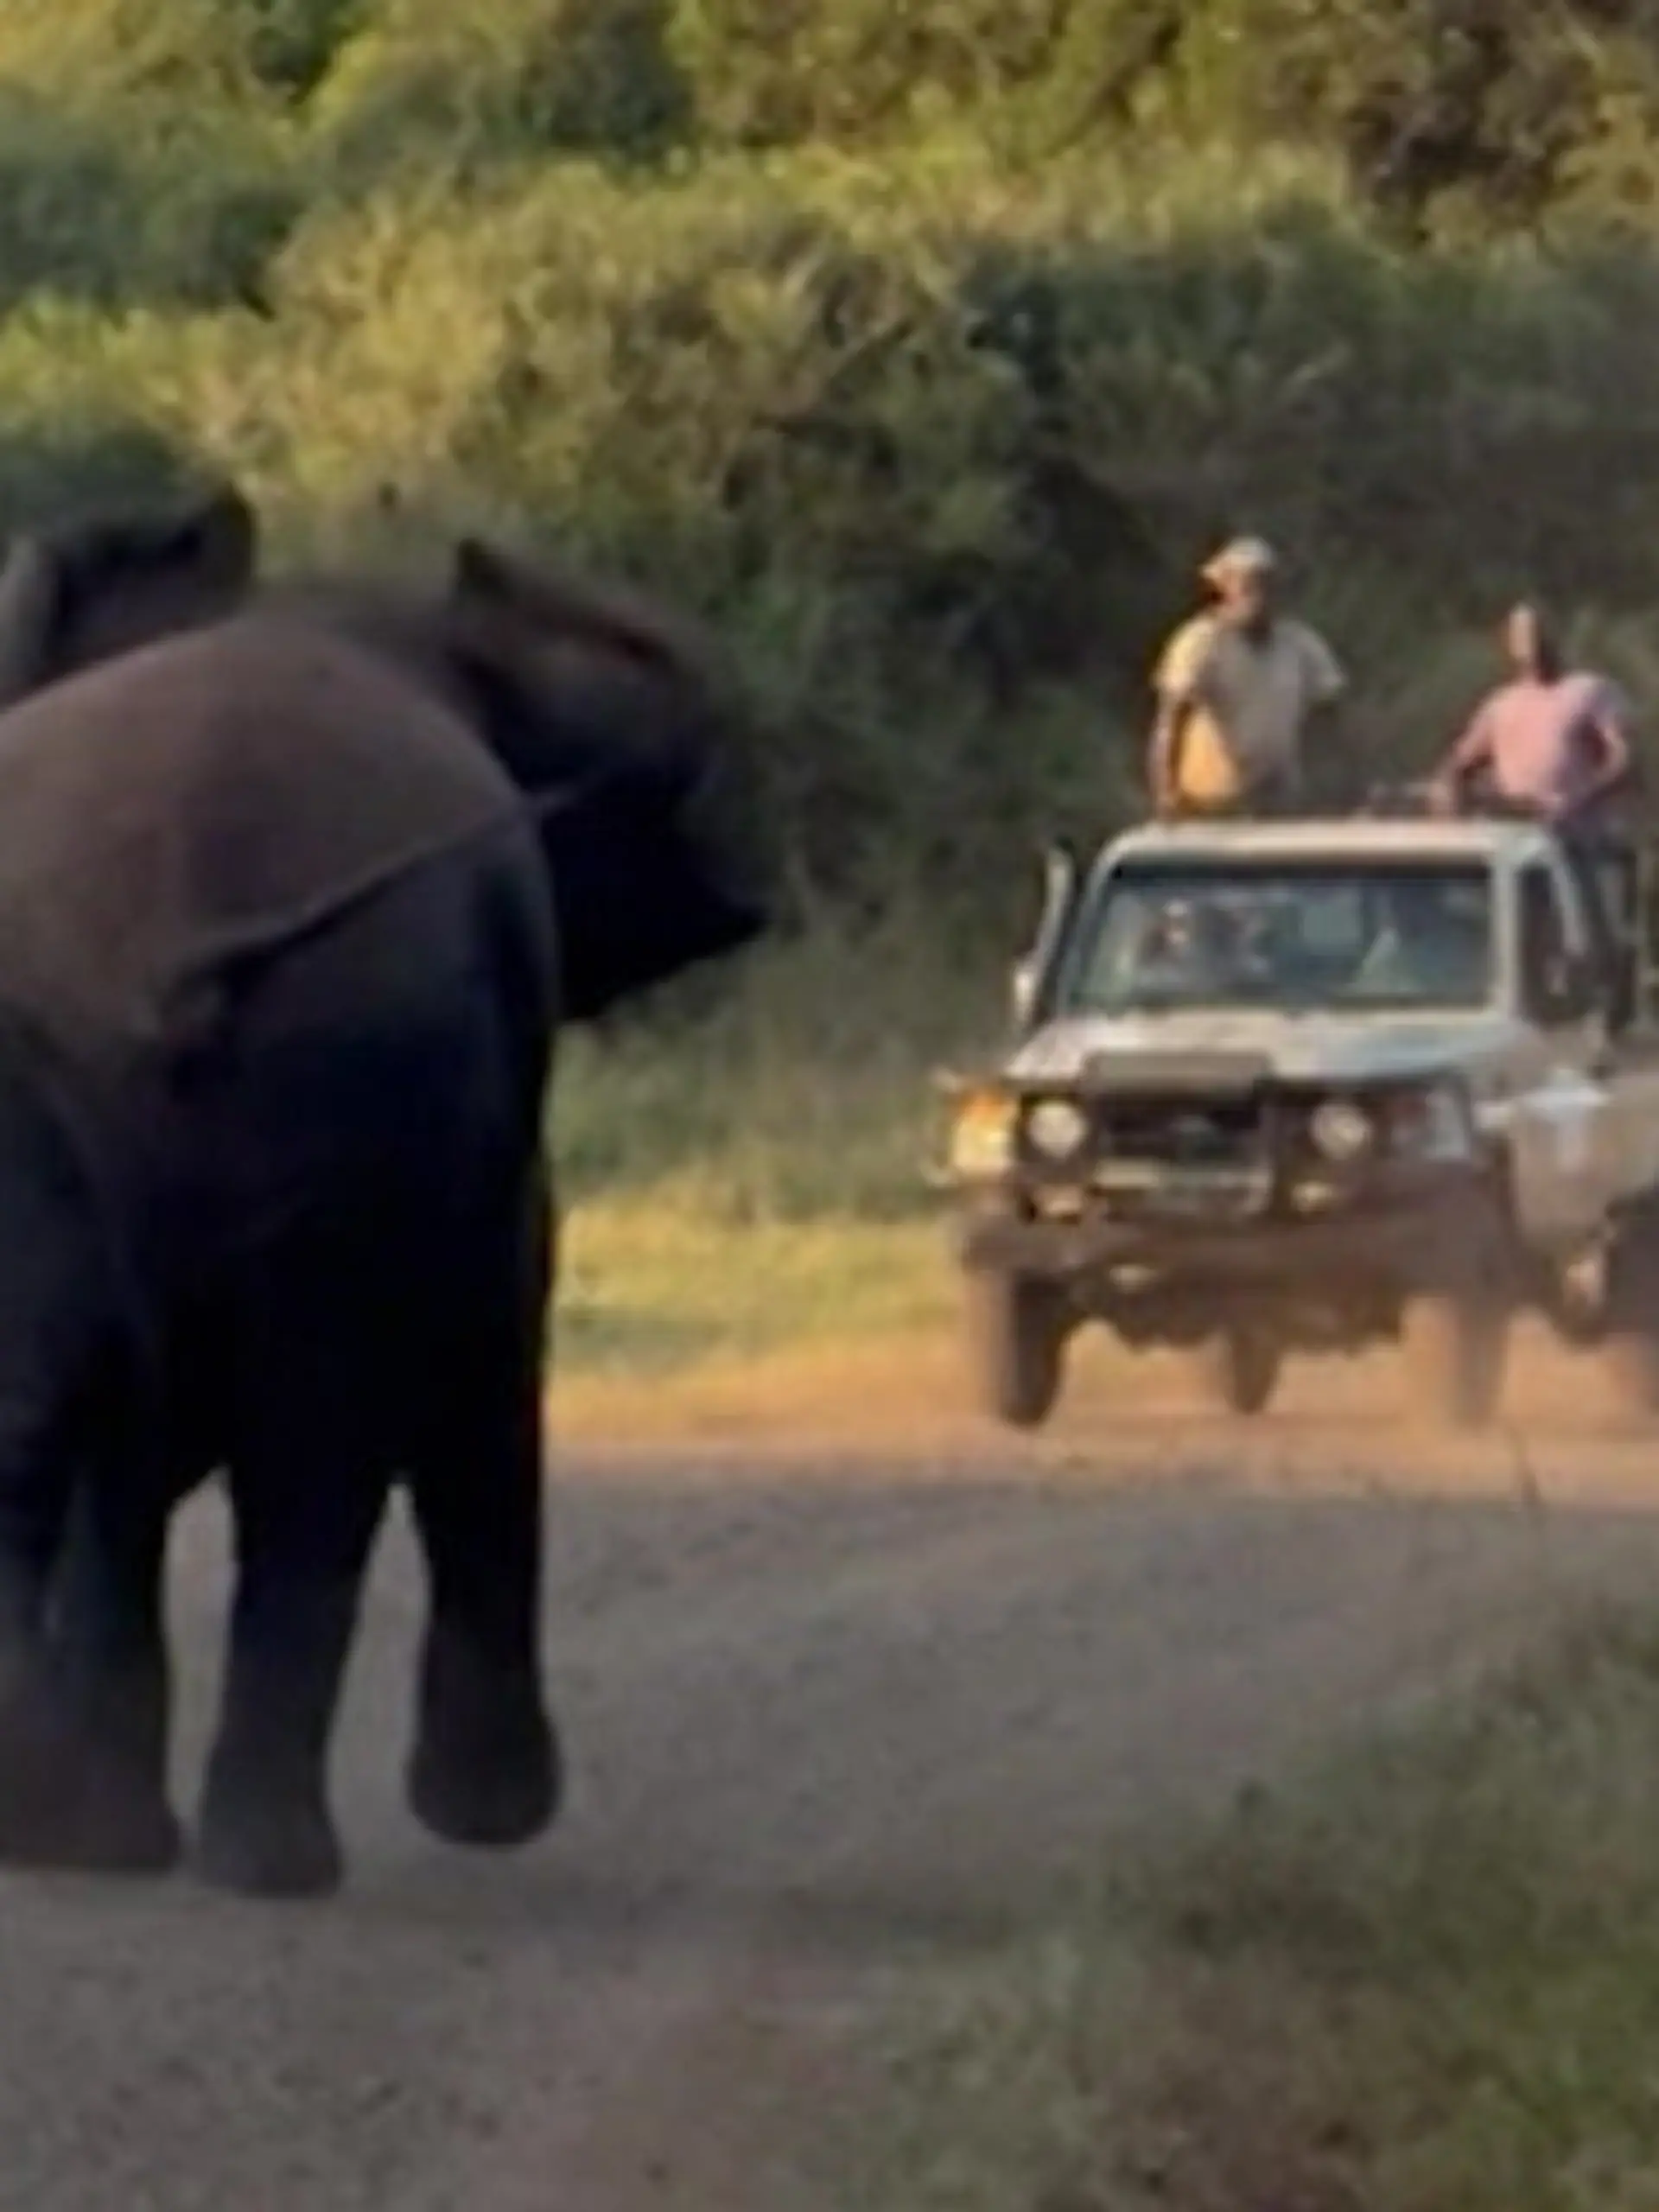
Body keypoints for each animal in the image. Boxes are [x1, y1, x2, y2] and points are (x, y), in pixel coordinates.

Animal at [0, 486, 765, 1897]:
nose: (479, 548)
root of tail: (169, 947)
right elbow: (493, 1351)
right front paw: (491, 1819)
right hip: (367, 1052)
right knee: (317, 1450)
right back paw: (260, 1861)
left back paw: (93, 1841)